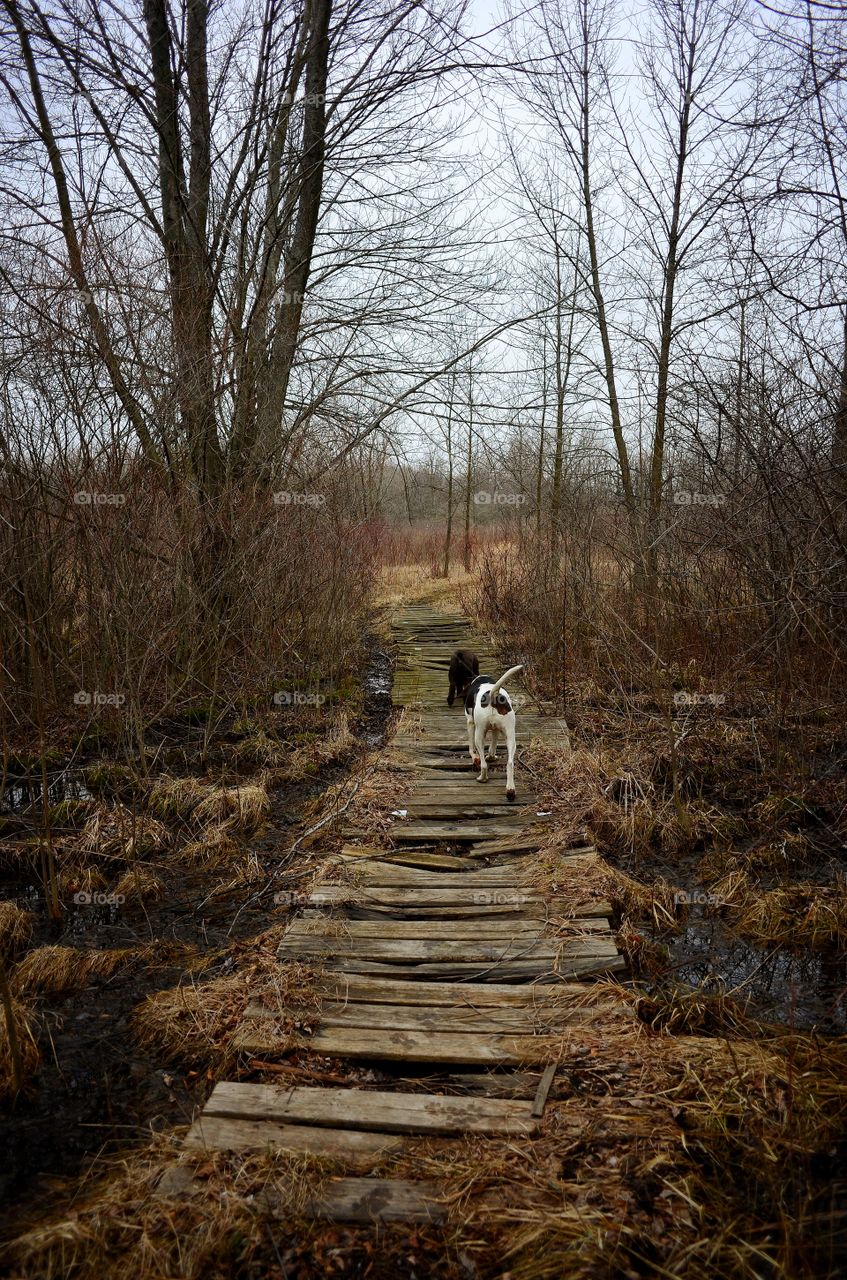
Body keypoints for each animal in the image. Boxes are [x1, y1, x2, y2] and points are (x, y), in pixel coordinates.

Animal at [465, 670, 524, 798]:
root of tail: (493, 695)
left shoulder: (470, 722)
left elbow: (471, 748)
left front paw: (475, 758)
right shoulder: (496, 729)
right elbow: (493, 744)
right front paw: (492, 756)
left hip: (479, 735)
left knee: (483, 764)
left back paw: (482, 778)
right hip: (510, 736)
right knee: (510, 763)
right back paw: (510, 789)